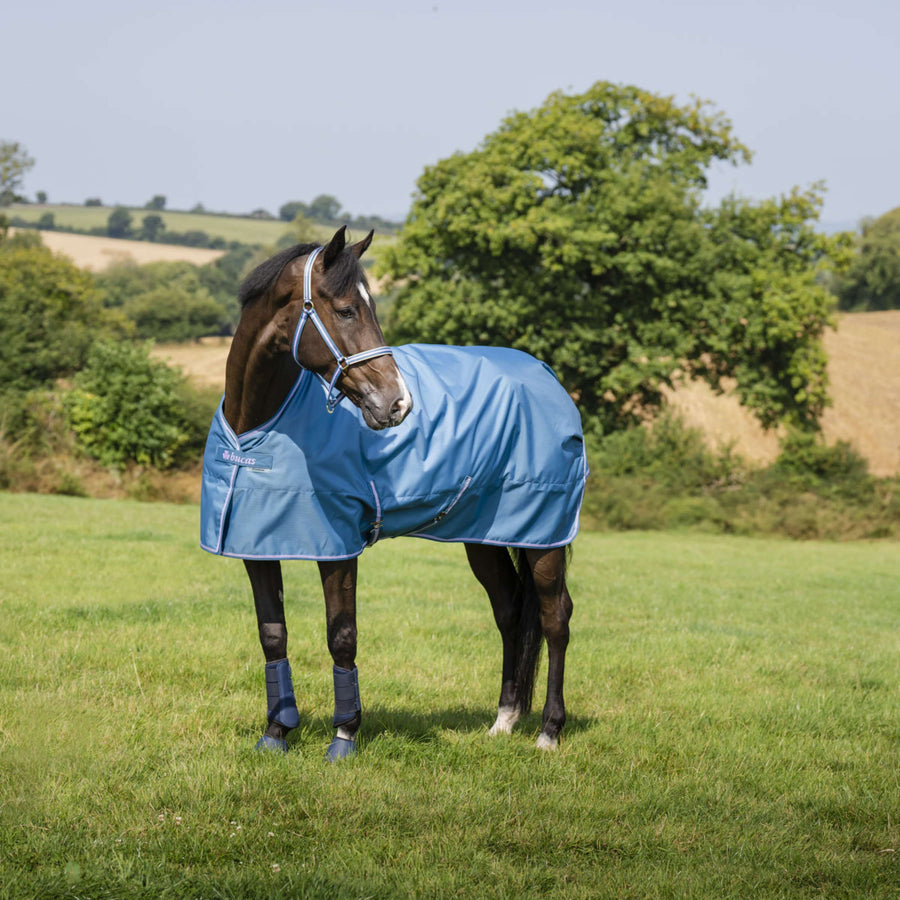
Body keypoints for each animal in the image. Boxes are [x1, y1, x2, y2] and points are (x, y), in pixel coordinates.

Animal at [200, 227, 587, 759]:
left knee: (555, 618)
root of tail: (548, 377)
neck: (255, 427)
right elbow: (272, 635)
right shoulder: (256, 546)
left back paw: (549, 730)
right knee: (509, 613)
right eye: (346, 310)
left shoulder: (339, 548)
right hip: (485, 539)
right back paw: (504, 720)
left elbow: (342, 635)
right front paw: (276, 733)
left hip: (543, 537)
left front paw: (344, 737)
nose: (398, 403)